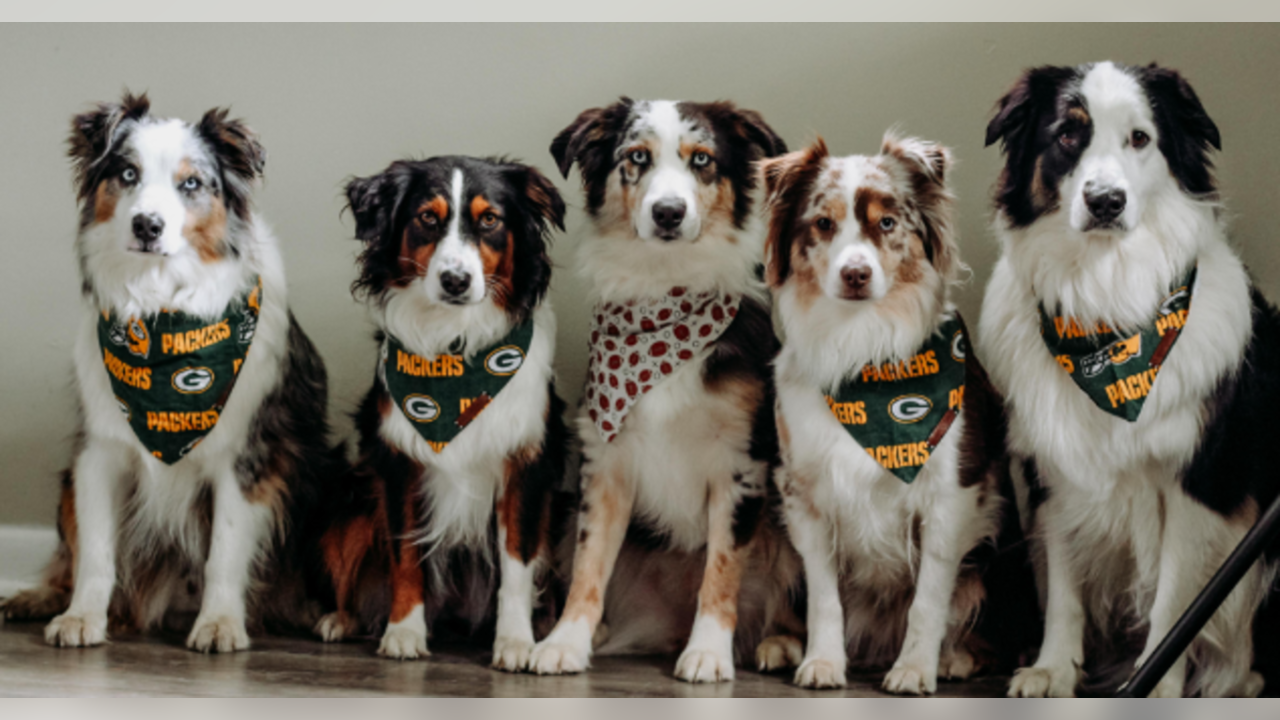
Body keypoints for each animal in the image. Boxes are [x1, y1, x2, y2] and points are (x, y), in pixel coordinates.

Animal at [312, 154, 568, 671]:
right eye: (427, 218)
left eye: (490, 220)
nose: (455, 281)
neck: (455, 345)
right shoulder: (398, 463)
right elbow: (406, 553)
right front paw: (404, 632)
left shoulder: (526, 467)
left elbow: (517, 564)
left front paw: (515, 642)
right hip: (350, 505)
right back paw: (341, 619)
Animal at [757, 133, 1039, 691]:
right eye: (823, 224)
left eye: (887, 223)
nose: (856, 273)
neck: (862, 350)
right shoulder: (804, 495)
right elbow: (823, 597)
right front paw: (823, 662)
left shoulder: (952, 497)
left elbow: (929, 599)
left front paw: (914, 669)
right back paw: (781, 642)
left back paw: (957, 658)